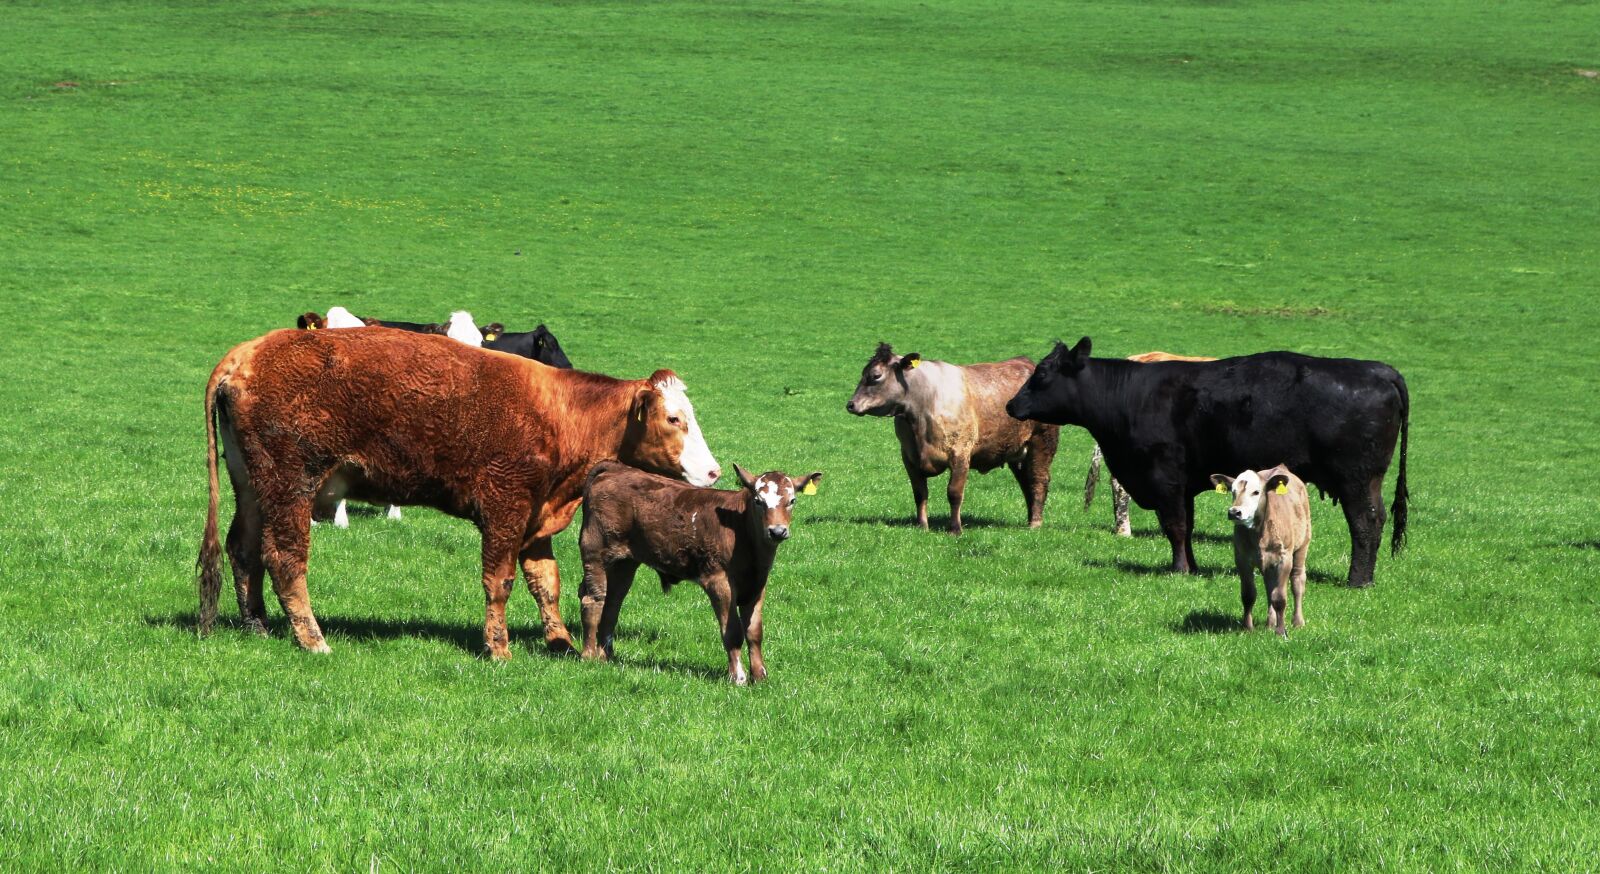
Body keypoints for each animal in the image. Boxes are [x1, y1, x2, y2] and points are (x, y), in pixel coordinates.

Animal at [196, 327, 721, 659]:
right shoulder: (506, 507)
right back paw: (312, 640)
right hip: (290, 487)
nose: (715, 471)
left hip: (253, 488)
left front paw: (562, 643)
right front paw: (499, 648)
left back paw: (258, 627)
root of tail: (245, 354)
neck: (560, 413)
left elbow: (545, 582)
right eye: (674, 418)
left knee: (243, 550)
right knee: (285, 560)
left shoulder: (537, 518)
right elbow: (500, 582)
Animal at [577, 462, 822, 684]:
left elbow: (754, 632)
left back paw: (606, 655)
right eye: (758, 501)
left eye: (792, 501)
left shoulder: (757, 584)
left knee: (613, 602)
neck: (741, 531)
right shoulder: (718, 581)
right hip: (596, 554)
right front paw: (738, 677)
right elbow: (733, 632)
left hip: (624, 563)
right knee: (593, 599)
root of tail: (616, 469)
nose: (777, 531)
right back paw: (589, 655)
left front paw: (760, 676)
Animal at [845, 343, 1059, 535]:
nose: (851, 404)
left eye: (876, 376)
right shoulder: (908, 456)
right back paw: (1030, 518)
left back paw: (1035, 524)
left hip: (1043, 441)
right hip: (1016, 451)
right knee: (1026, 482)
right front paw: (922, 526)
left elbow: (954, 493)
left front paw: (955, 528)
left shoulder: (960, 452)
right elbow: (920, 493)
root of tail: (1026, 362)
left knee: (1038, 480)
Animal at [1211, 465, 1312, 637]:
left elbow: (1280, 597)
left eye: (1256, 492)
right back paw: (1270, 623)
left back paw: (1297, 622)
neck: (1259, 533)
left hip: (1302, 545)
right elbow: (1249, 594)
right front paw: (1248, 628)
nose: (1234, 512)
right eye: (1233, 491)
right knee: (1269, 588)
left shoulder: (1284, 558)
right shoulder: (1242, 558)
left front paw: (1281, 631)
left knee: (1297, 581)